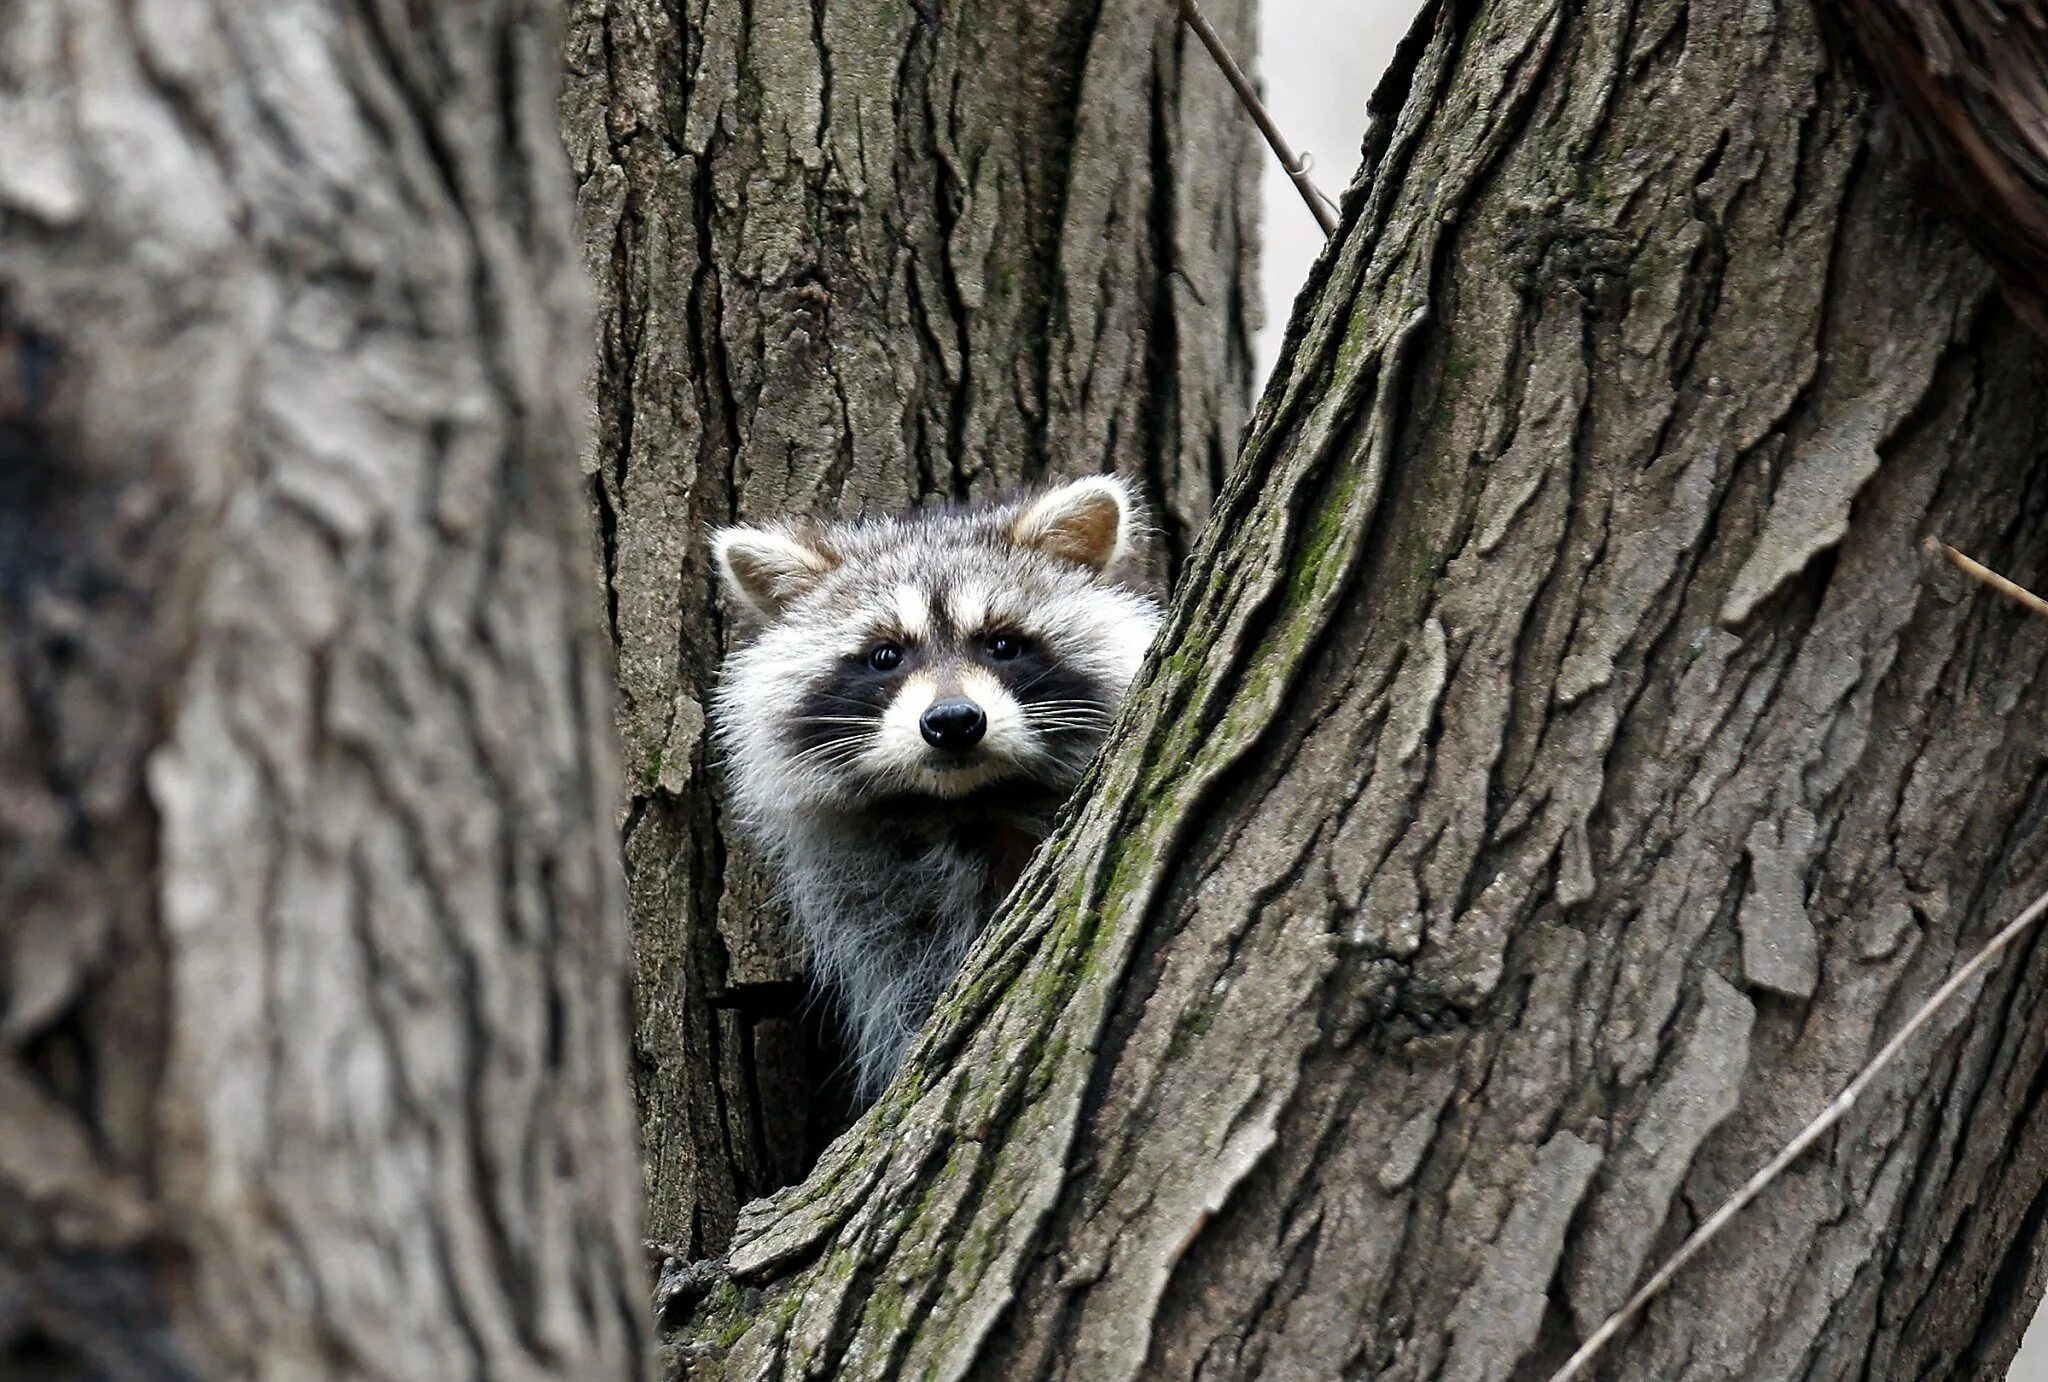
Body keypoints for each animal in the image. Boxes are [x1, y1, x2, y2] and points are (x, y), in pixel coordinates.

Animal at [712, 474, 1163, 1105]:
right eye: (885, 655)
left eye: (1001, 644)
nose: (953, 720)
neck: (967, 803)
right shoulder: (878, 899)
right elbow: (909, 987)